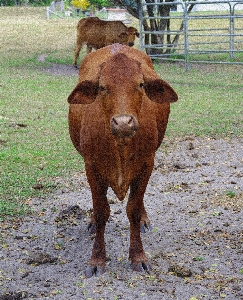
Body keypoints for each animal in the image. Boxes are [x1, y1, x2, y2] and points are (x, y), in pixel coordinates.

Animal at [67, 42, 178, 276]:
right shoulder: (91, 167)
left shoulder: (147, 164)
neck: (120, 145)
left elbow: (133, 210)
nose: (123, 122)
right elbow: (102, 211)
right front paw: (97, 259)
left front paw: (138, 256)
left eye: (141, 84)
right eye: (102, 87)